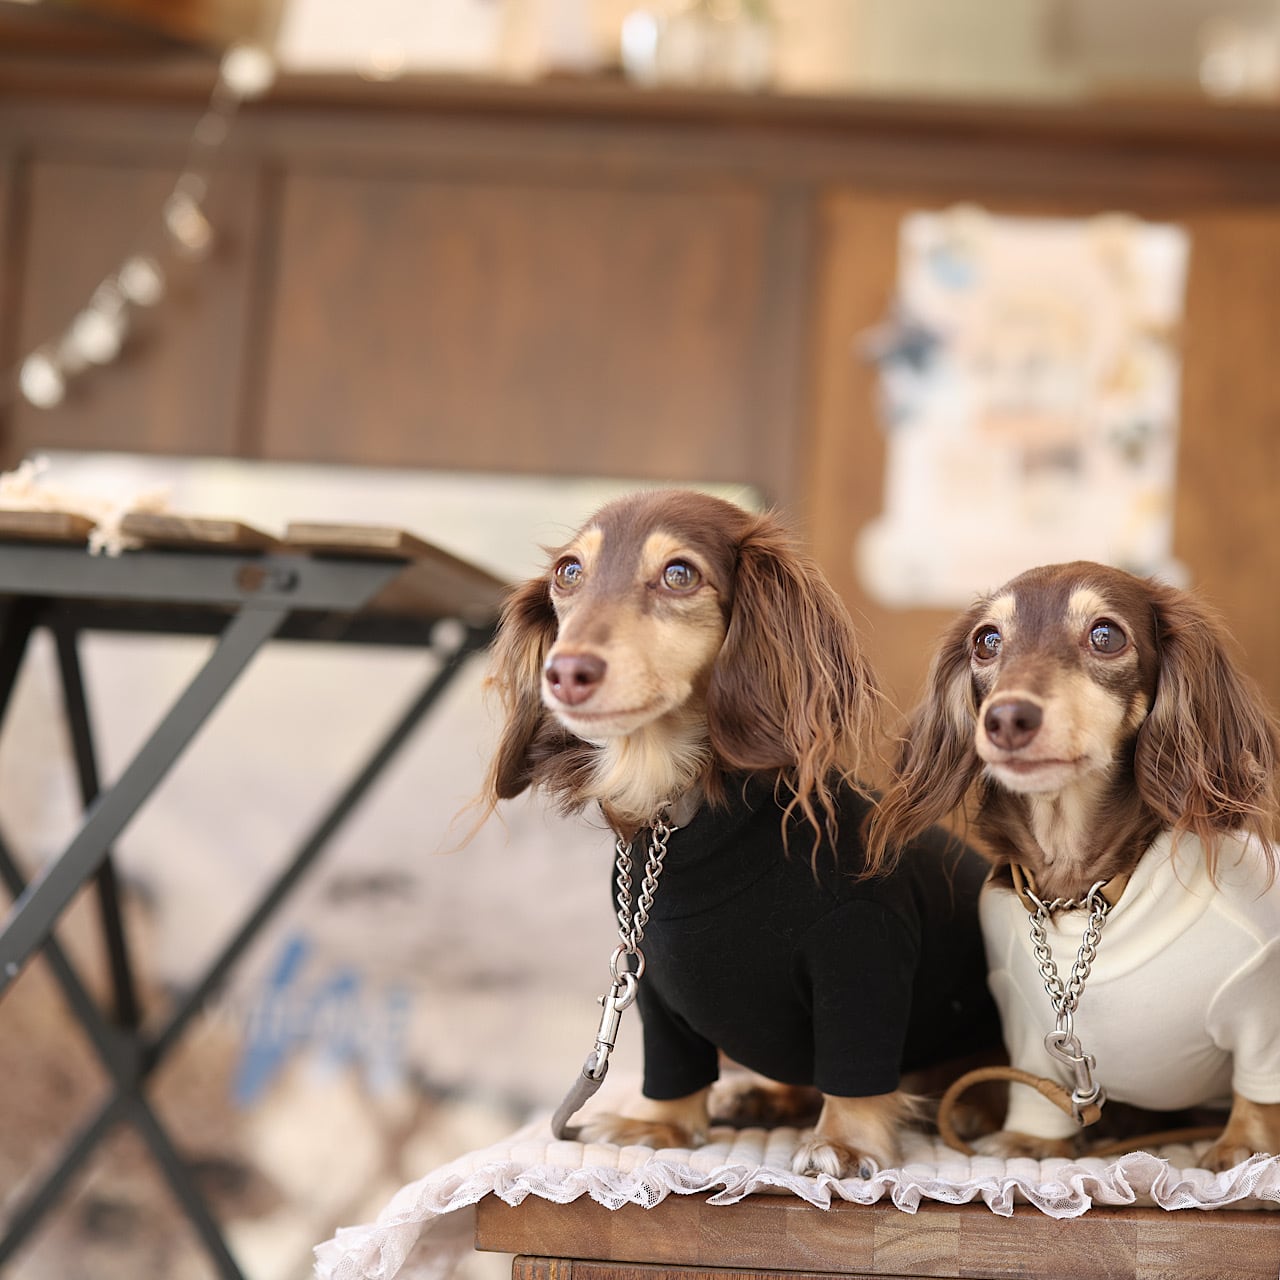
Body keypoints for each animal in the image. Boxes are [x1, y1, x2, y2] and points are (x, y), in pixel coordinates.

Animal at [482, 488, 1002, 1177]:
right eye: (569, 572)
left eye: (679, 574)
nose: (565, 672)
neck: (691, 831)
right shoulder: (649, 984)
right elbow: (674, 1070)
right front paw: (663, 1126)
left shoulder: (862, 953)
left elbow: (856, 1070)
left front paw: (845, 1142)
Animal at [867, 560, 1280, 1169]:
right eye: (987, 641)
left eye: (1106, 635)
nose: (1007, 718)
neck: (1081, 896)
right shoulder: (1026, 1025)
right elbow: (1037, 1089)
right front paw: (1031, 1140)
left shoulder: (1260, 1008)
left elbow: (1257, 1094)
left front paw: (1243, 1148)